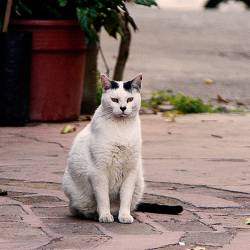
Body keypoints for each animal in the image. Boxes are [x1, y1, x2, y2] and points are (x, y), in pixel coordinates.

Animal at [62, 73, 144, 224]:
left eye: (130, 99)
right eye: (114, 100)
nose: (123, 108)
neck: (121, 128)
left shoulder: (130, 171)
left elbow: (126, 197)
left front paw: (124, 216)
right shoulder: (99, 172)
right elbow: (103, 198)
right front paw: (105, 216)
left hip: (139, 184)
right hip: (76, 193)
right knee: (78, 210)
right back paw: (95, 215)